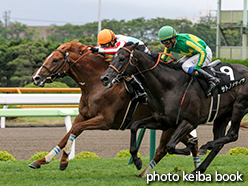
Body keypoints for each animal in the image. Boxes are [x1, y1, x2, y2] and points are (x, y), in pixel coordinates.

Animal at [29, 39, 200, 176]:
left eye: (55, 60)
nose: (36, 77)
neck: (95, 84)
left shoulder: (105, 121)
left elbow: (76, 129)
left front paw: (64, 161)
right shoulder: (83, 115)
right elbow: (68, 134)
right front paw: (42, 160)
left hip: (170, 124)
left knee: (166, 148)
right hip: (172, 124)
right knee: (191, 143)